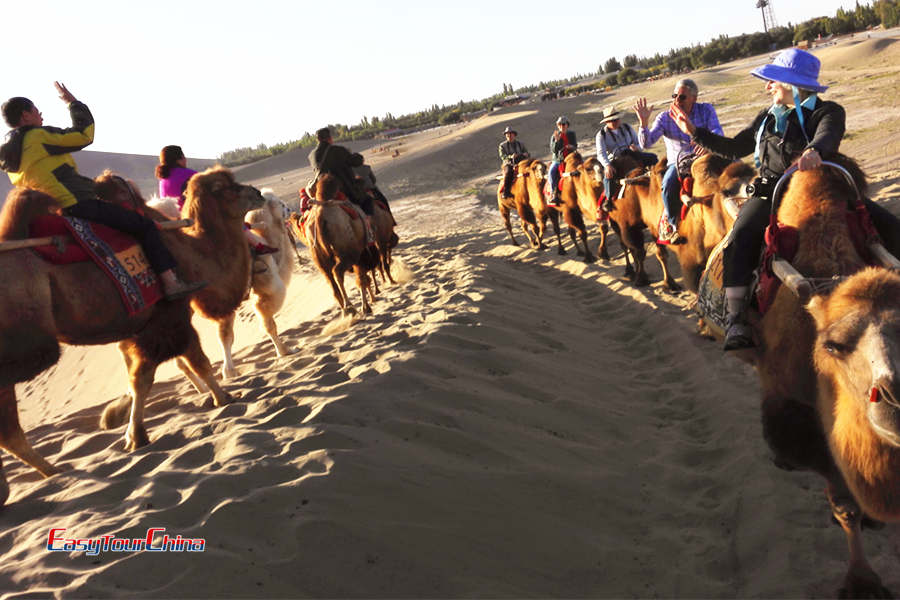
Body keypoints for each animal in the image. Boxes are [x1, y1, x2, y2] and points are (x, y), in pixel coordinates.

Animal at [0, 166, 264, 504]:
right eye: (223, 186)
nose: (257, 192)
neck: (191, 255)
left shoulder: (139, 327)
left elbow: (139, 375)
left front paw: (122, 423)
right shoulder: (168, 315)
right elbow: (179, 366)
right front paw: (222, 397)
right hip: (23, 347)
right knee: (9, 426)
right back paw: (50, 472)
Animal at [292, 173, 376, 316]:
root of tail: (320, 219)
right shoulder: (360, 255)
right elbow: (361, 279)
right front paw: (366, 307)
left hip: (318, 257)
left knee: (331, 283)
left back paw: (346, 309)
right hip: (349, 253)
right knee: (337, 272)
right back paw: (350, 307)